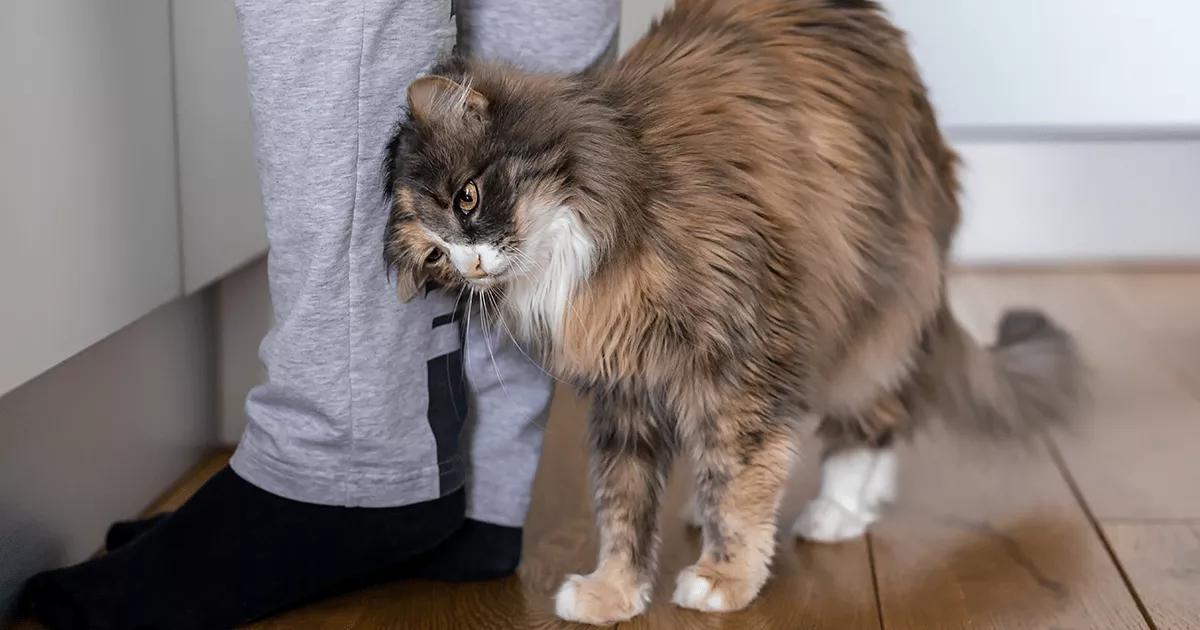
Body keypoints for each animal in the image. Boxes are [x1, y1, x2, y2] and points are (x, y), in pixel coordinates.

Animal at [379, 0, 1084, 619]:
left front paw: (727, 578)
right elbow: (623, 502)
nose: (470, 266)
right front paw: (614, 593)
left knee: (876, 415)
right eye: (436, 255)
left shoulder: (742, 360)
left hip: (866, 313)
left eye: (467, 197)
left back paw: (840, 510)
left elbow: (742, 482)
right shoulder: (625, 389)